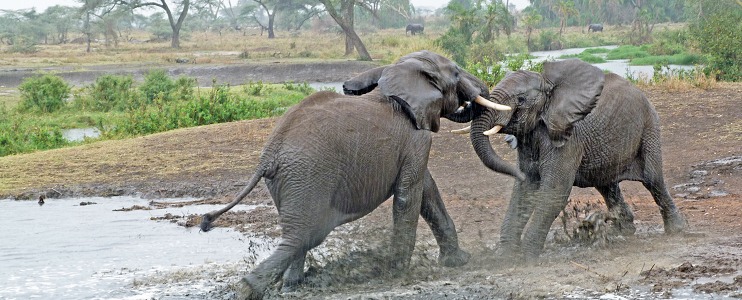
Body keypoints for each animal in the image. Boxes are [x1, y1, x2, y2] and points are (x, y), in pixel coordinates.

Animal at [199, 49, 512, 298]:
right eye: (456, 72)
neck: (397, 73)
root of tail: (268, 155)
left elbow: (427, 189)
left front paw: (459, 262)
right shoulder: (416, 138)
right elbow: (408, 196)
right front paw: (399, 273)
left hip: (289, 181)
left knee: (299, 235)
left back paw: (292, 286)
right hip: (308, 175)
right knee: (302, 235)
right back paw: (248, 289)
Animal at [462, 58, 688, 262]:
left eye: (521, 99)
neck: (548, 87)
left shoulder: (568, 140)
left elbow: (554, 192)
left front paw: (527, 258)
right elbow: (524, 191)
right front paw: (505, 257)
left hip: (649, 125)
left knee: (652, 179)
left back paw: (676, 229)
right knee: (606, 185)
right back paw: (621, 231)